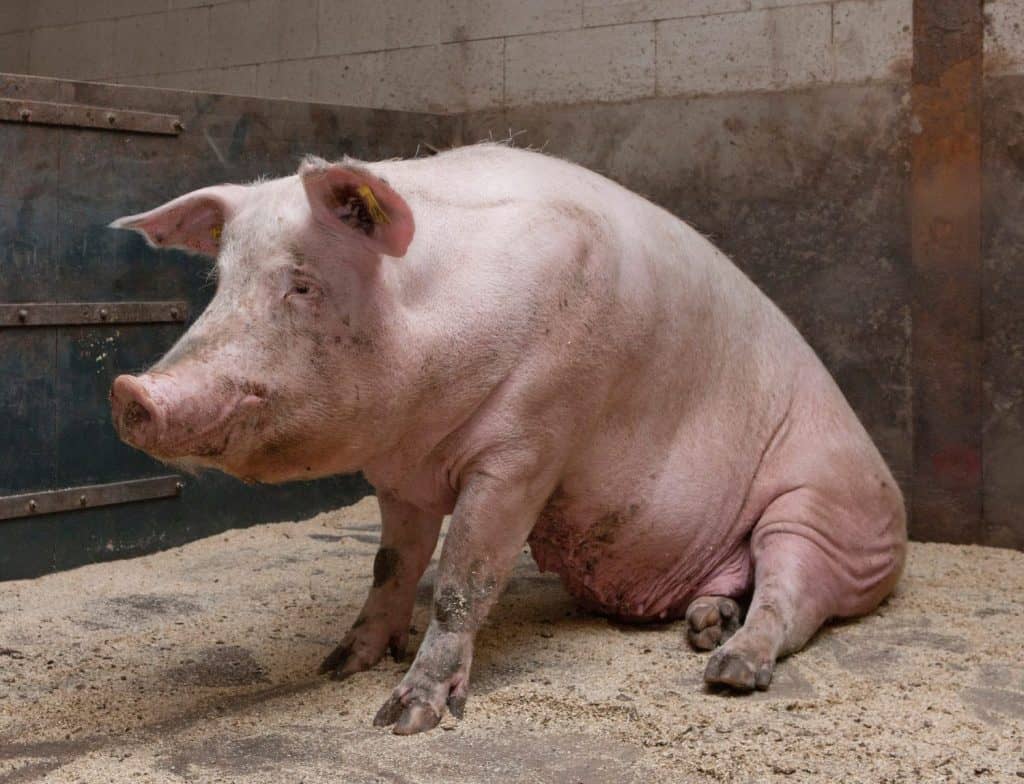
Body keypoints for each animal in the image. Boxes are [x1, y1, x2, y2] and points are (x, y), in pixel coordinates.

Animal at [109, 143, 906, 735]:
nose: (130, 393)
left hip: (819, 512)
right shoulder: (401, 476)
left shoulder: (528, 447)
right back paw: (706, 626)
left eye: (302, 284)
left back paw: (729, 670)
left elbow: (464, 579)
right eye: (220, 281)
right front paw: (338, 665)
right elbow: (391, 567)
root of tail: (895, 509)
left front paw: (406, 718)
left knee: (790, 598)